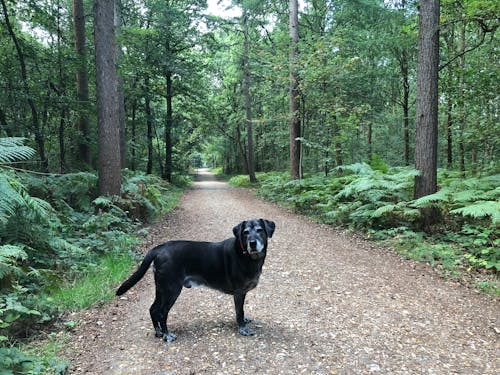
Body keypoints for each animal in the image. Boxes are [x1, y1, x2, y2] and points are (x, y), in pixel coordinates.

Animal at [115, 219, 276, 342]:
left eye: (260, 230)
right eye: (245, 232)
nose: (252, 243)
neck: (246, 255)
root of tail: (159, 249)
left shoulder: (242, 293)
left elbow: (242, 310)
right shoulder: (238, 292)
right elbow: (239, 312)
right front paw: (243, 328)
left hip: (161, 289)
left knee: (153, 309)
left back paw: (159, 332)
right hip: (172, 290)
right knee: (162, 313)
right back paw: (167, 335)